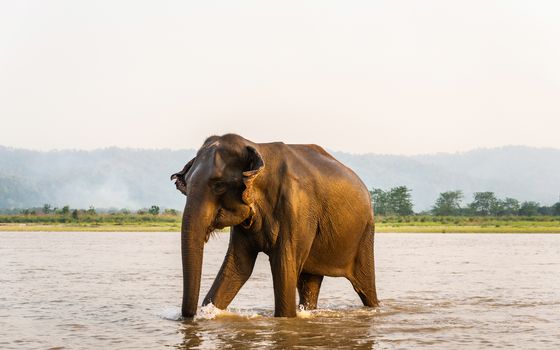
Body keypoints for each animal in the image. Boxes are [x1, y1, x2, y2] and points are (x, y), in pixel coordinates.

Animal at [171, 133, 380, 318]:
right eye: (186, 185)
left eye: (219, 185)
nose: (191, 316)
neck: (256, 146)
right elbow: (239, 265)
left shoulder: (296, 208)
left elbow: (284, 266)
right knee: (309, 281)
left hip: (365, 233)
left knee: (365, 286)